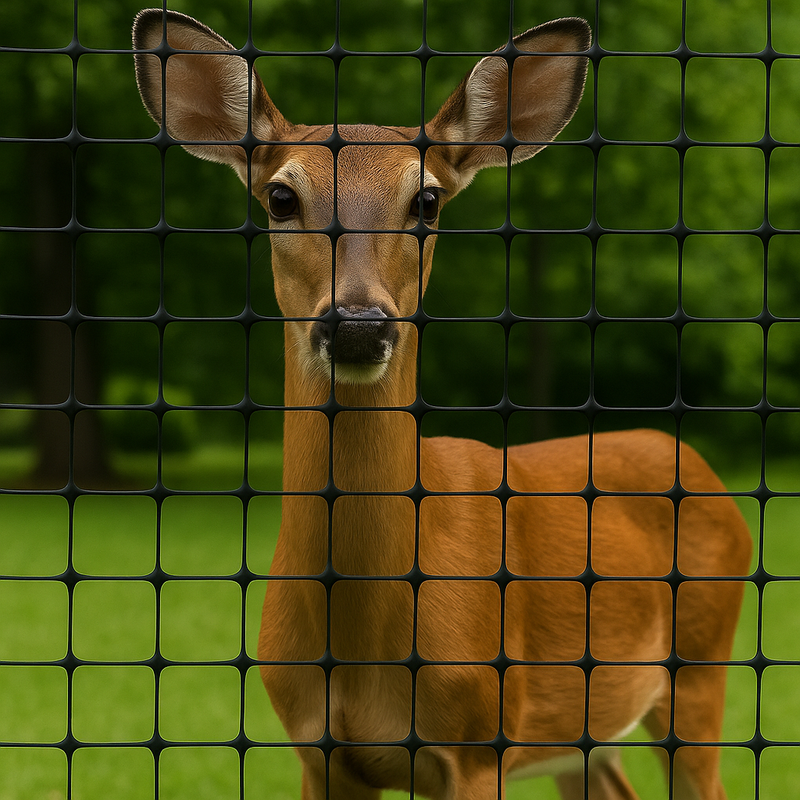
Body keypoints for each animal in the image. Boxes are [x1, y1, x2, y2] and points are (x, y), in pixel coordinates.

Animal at [133, 9, 752, 800]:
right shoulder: (317, 750)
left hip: (701, 669)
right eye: (281, 197)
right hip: (587, 733)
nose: (358, 325)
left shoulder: (481, 736)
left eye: (425, 200)